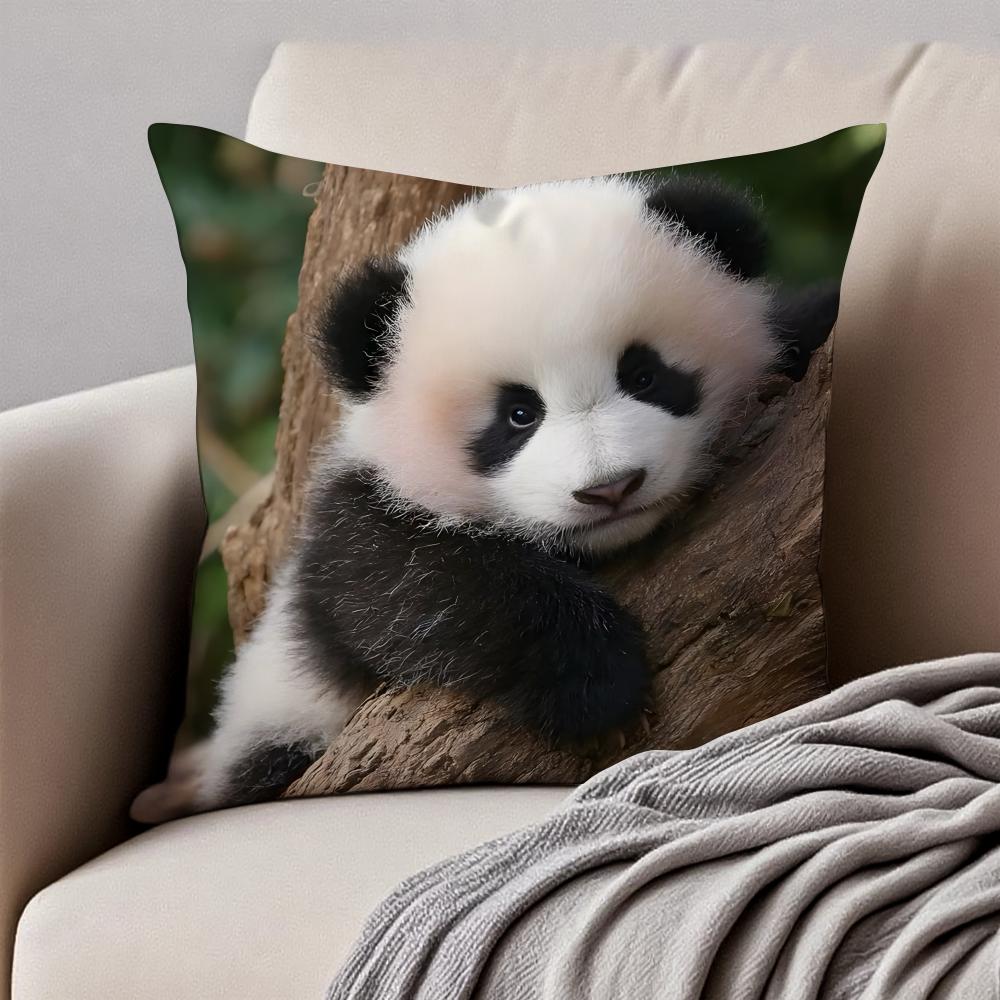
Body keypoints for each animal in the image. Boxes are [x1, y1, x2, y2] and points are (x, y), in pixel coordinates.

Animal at [197, 174, 839, 810]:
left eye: (644, 376)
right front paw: (597, 687)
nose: (610, 488)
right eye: (519, 414)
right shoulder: (350, 521)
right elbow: (408, 585)